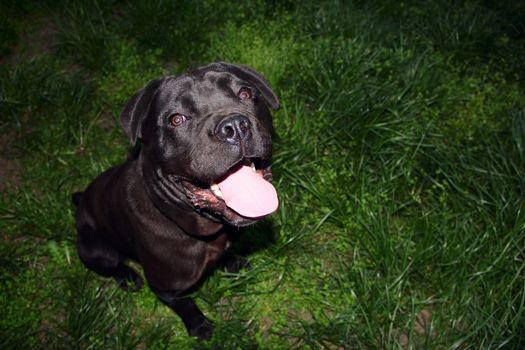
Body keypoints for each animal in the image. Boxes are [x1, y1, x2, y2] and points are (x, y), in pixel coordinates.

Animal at [73, 62, 280, 340]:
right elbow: (187, 306)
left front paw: (232, 261)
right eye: (176, 119)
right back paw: (127, 276)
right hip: (94, 249)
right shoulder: (167, 290)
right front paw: (200, 326)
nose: (235, 126)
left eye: (245, 93)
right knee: (112, 264)